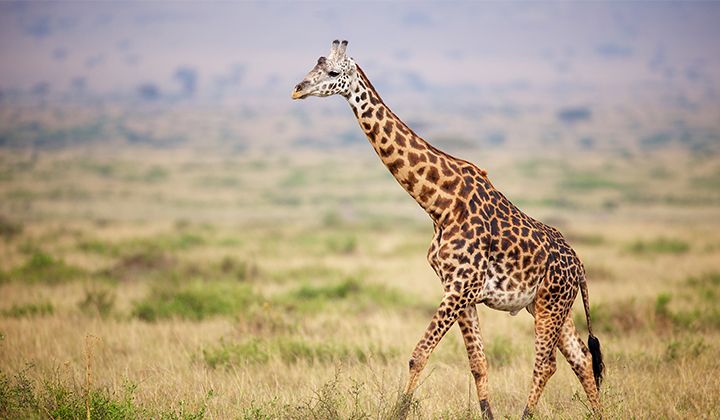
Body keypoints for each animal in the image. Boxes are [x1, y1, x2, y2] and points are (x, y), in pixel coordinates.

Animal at [292, 40, 600, 420]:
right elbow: (478, 364)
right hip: (548, 304)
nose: (297, 89)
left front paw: (398, 411)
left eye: (334, 72)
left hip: (550, 305)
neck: (439, 204)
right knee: (582, 358)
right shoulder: (460, 292)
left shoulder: (460, 288)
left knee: (547, 364)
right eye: (314, 65)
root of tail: (580, 266)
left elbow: (418, 354)